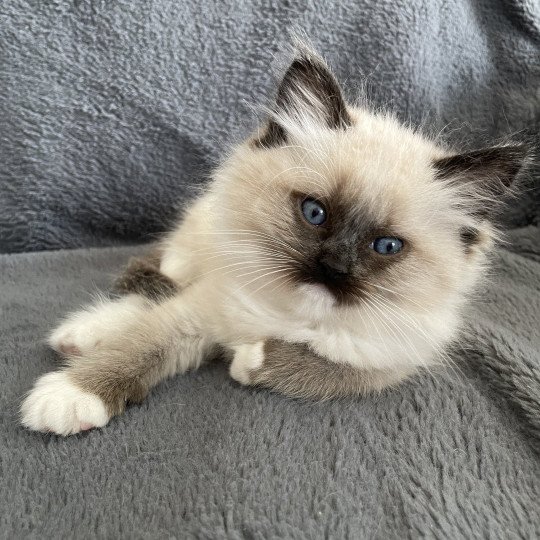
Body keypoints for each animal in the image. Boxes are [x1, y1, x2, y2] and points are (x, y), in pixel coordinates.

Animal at [20, 45, 528, 434]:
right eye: (315, 213)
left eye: (387, 246)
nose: (333, 268)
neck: (291, 316)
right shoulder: (198, 313)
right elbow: (139, 347)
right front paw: (71, 396)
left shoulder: (385, 365)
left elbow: (317, 369)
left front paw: (247, 360)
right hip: (198, 247)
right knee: (155, 287)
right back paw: (81, 336)